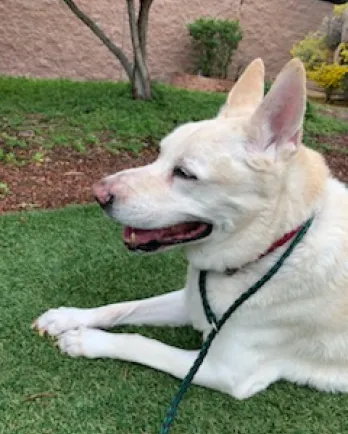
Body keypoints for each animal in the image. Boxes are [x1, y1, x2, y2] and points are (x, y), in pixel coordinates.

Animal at [34, 58, 348, 400]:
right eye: (160, 154)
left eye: (184, 173)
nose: (98, 194)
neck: (271, 249)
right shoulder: (192, 300)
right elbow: (125, 307)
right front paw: (68, 317)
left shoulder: (227, 372)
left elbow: (142, 342)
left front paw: (86, 339)